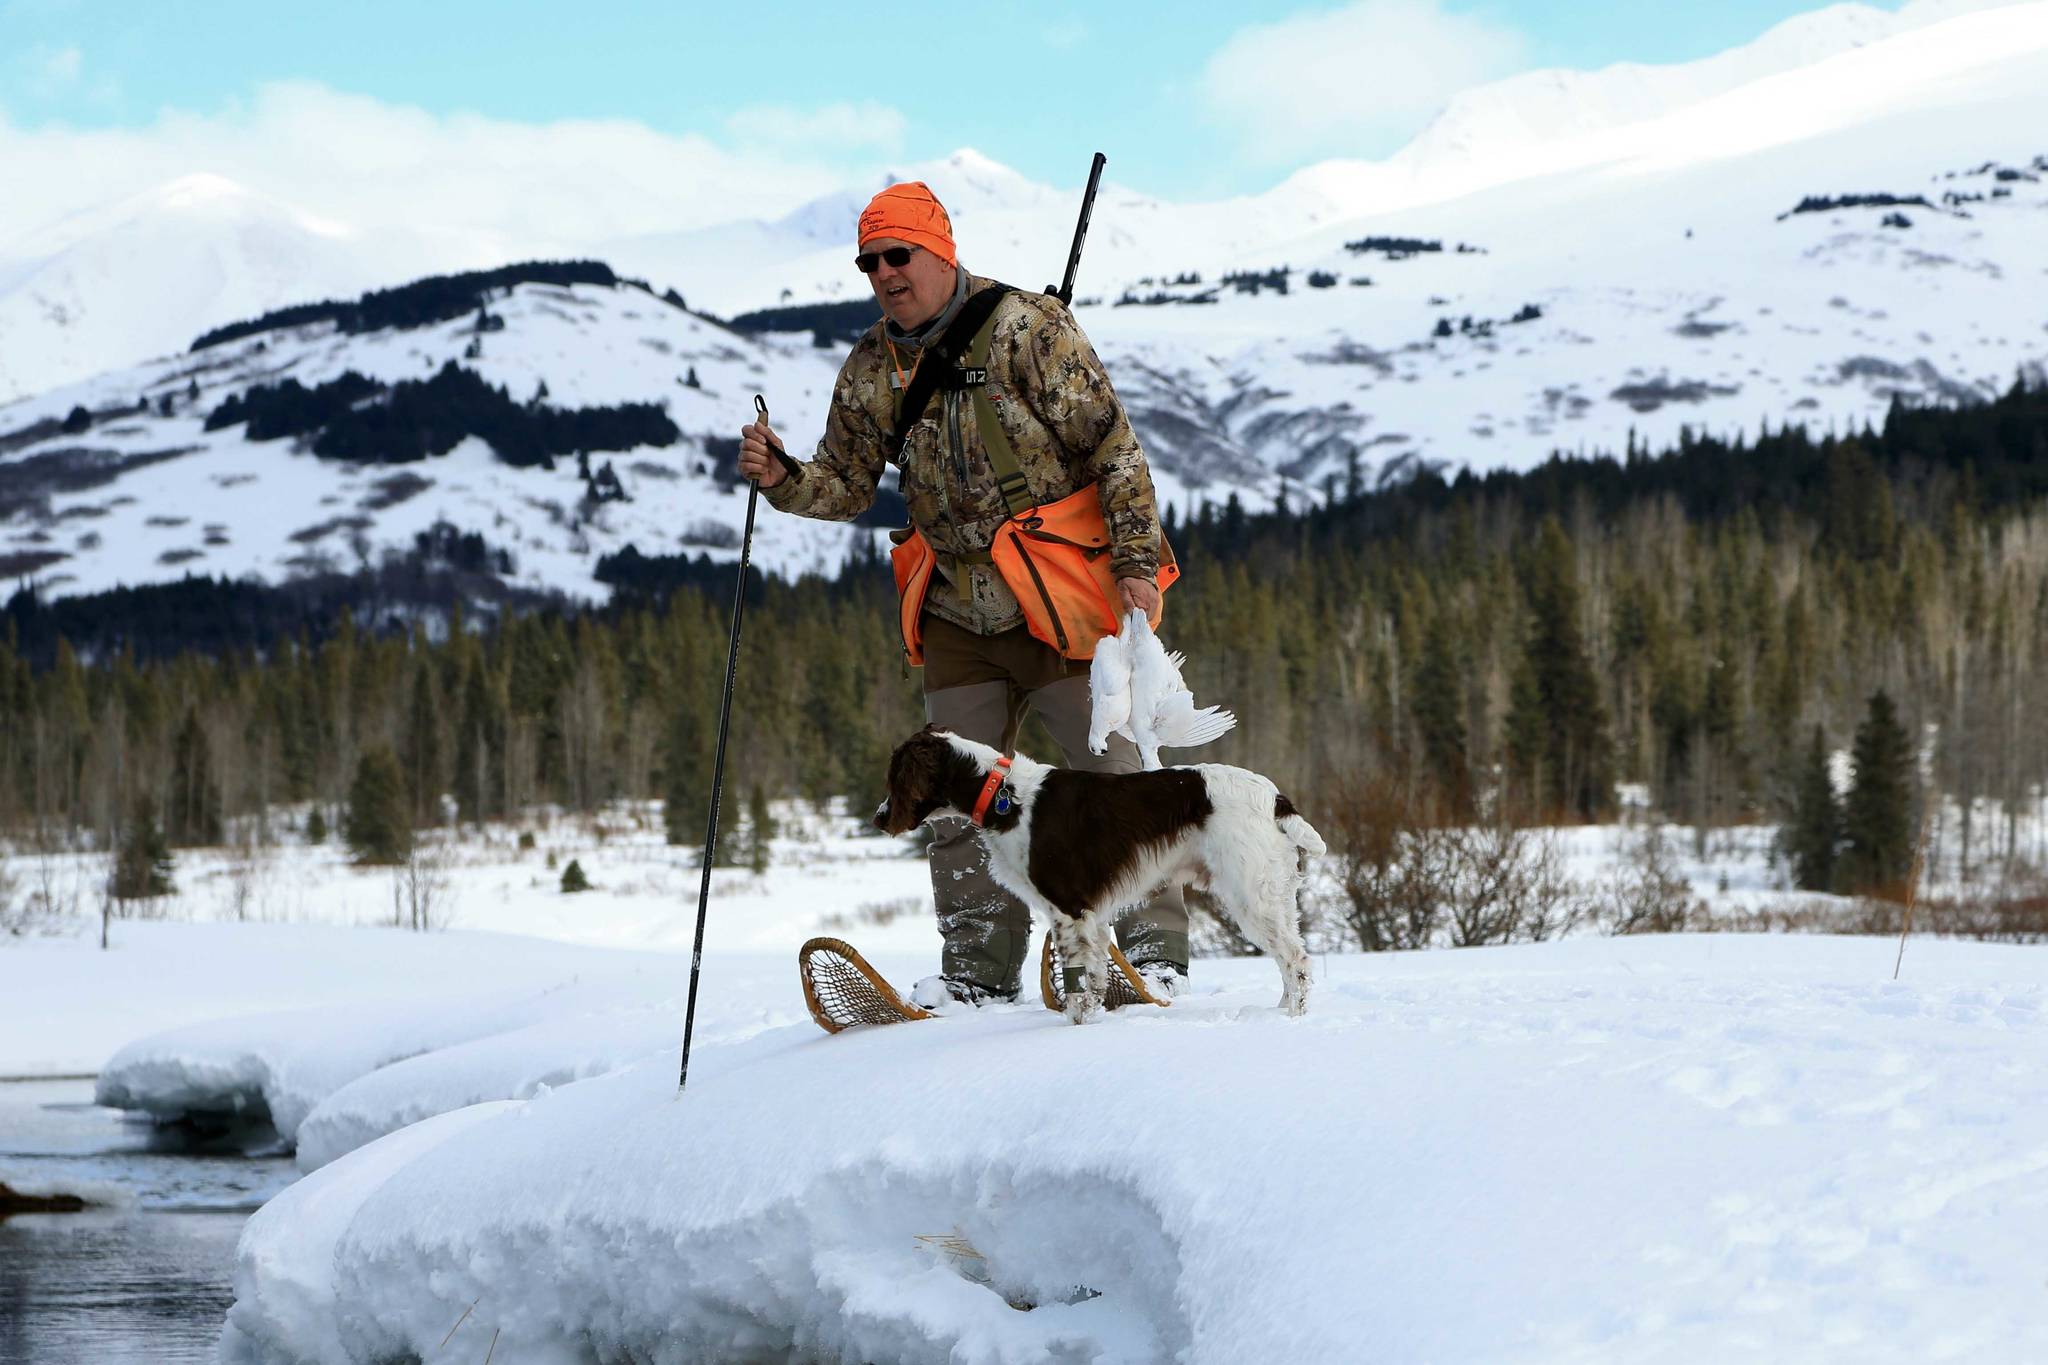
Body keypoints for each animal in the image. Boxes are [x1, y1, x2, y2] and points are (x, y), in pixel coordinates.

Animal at [868, 732, 1327, 1019]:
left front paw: (1077, 1023)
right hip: (1270, 896)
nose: (878, 817)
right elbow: (1093, 974)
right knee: (1290, 956)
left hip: (1251, 894)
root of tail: (1276, 799)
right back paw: (1281, 1011)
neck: (1003, 794)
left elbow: (1077, 979)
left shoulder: (1068, 909)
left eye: (895, 777)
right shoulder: (1088, 916)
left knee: (1296, 959)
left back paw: (1294, 1018)